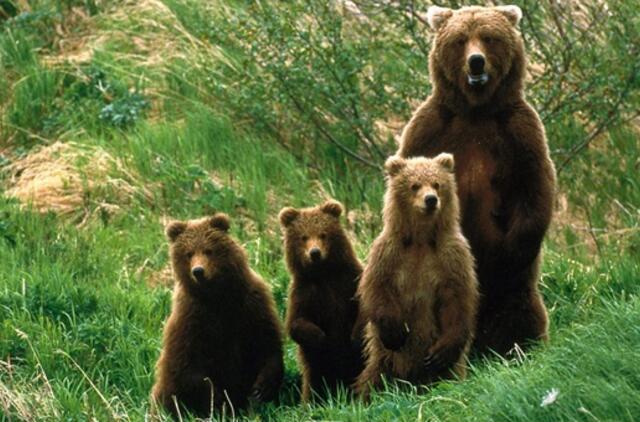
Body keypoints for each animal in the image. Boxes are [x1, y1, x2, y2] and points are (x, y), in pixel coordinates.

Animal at [151, 214, 284, 418]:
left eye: (208, 250)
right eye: (189, 253)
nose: (198, 271)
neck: (217, 296)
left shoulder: (251, 304)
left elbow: (267, 343)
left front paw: (261, 389)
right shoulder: (191, 318)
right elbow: (188, 364)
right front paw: (219, 401)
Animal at [280, 200, 364, 402]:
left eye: (323, 234)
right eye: (303, 237)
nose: (315, 253)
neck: (323, 274)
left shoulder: (349, 281)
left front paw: (355, 337)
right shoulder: (304, 293)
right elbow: (296, 322)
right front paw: (321, 338)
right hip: (316, 372)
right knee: (313, 385)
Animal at [358, 153, 478, 398]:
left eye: (437, 184)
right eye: (414, 185)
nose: (431, 200)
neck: (421, 239)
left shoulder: (452, 256)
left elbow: (457, 298)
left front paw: (441, 353)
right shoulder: (389, 252)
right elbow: (377, 287)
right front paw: (395, 331)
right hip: (384, 360)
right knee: (373, 378)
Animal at [398, 6, 556, 356]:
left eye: (488, 36)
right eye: (460, 39)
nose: (476, 62)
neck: (476, 110)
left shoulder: (519, 132)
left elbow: (534, 186)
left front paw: (511, 252)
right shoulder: (429, 128)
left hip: (515, 294)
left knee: (520, 311)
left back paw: (517, 347)